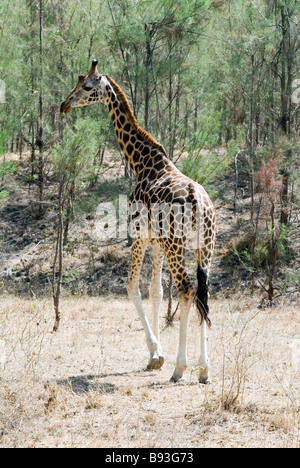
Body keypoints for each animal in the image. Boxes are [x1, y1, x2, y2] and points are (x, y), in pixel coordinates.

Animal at [61, 60, 216, 382]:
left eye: (87, 86)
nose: (64, 105)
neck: (141, 161)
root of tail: (198, 202)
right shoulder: (156, 242)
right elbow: (155, 291)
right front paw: (154, 356)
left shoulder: (139, 234)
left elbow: (131, 286)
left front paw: (157, 355)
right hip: (204, 247)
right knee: (202, 293)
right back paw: (204, 369)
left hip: (176, 245)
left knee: (186, 290)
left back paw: (180, 368)